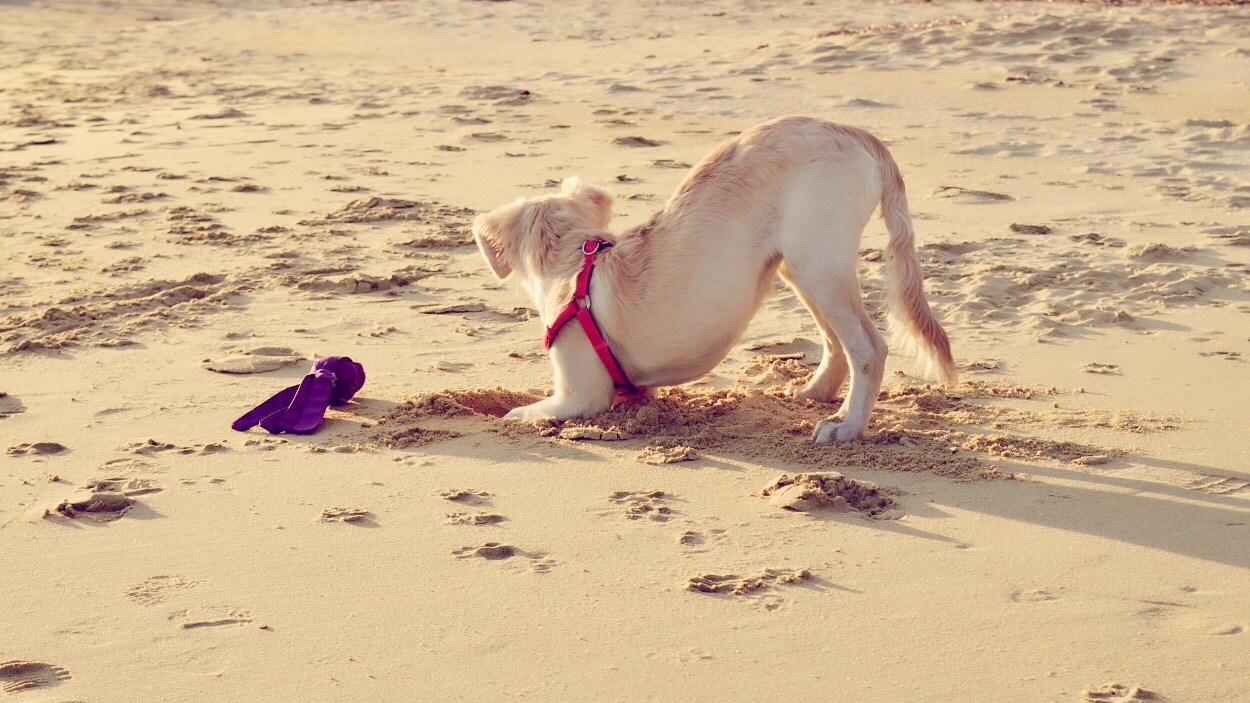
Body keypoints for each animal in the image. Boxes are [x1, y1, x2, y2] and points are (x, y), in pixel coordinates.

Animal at [470, 115, 955, 442]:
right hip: (799, 263)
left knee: (867, 348)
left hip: (816, 261)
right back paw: (814, 394)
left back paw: (848, 426)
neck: (574, 260)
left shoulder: (579, 396)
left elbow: (523, 412)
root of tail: (855, 132)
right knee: (836, 343)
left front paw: (508, 417)